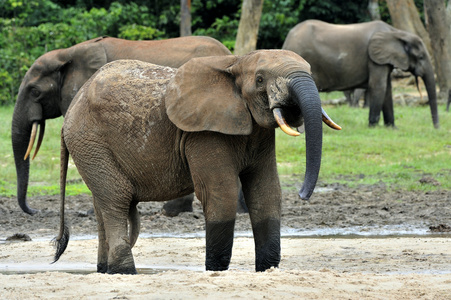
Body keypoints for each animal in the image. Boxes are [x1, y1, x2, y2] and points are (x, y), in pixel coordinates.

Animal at [53, 50, 340, 274]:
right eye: (260, 79)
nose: (303, 194)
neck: (235, 63)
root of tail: (73, 107)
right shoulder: (203, 133)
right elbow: (221, 193)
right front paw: (216, 271)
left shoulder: (259, 134)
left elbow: (266, 192)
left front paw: (267, 270)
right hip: (90, 141)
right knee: (116, 199)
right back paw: (125, 271)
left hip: (90, 147)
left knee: (103, 202)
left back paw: (106, 270)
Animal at [284, 18, 440, 129]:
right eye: (420, 57)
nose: (436, 128)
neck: (396, 32)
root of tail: (287, 39)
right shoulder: (374, 59)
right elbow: (379, 86)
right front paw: (373, 127)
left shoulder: (382, 60)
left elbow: (387, 89)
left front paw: (392, 128)